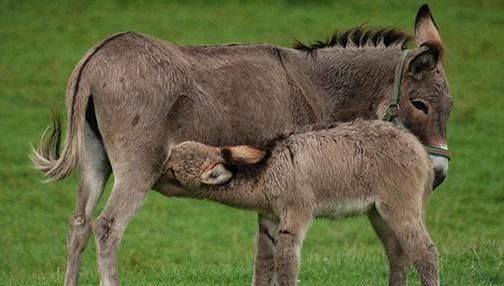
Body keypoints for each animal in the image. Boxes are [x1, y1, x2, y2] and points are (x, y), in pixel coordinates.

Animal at [164, 119, 438, 284]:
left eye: (171, 171)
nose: (156, 168)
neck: (268, 172)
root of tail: (419, 148)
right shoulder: (270, 219)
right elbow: (264, 263)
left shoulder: (297, 211)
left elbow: (286, 261)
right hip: (378, 213)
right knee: (398, 253)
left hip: (400, 206)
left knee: (425, 253)